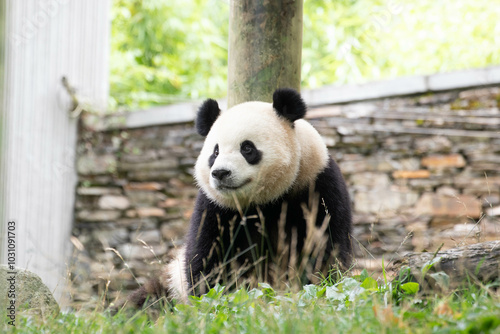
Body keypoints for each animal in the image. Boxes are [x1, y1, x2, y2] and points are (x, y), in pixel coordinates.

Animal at [127, 87, 354, 306]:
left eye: (247, 147)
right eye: (215, 152)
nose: (220, 173)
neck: (262, 202)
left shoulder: (316, 185)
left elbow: (325, 244)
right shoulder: (215, 207)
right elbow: (207, 256)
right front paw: (214, 298)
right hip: (172, 282)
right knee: (146, 300)